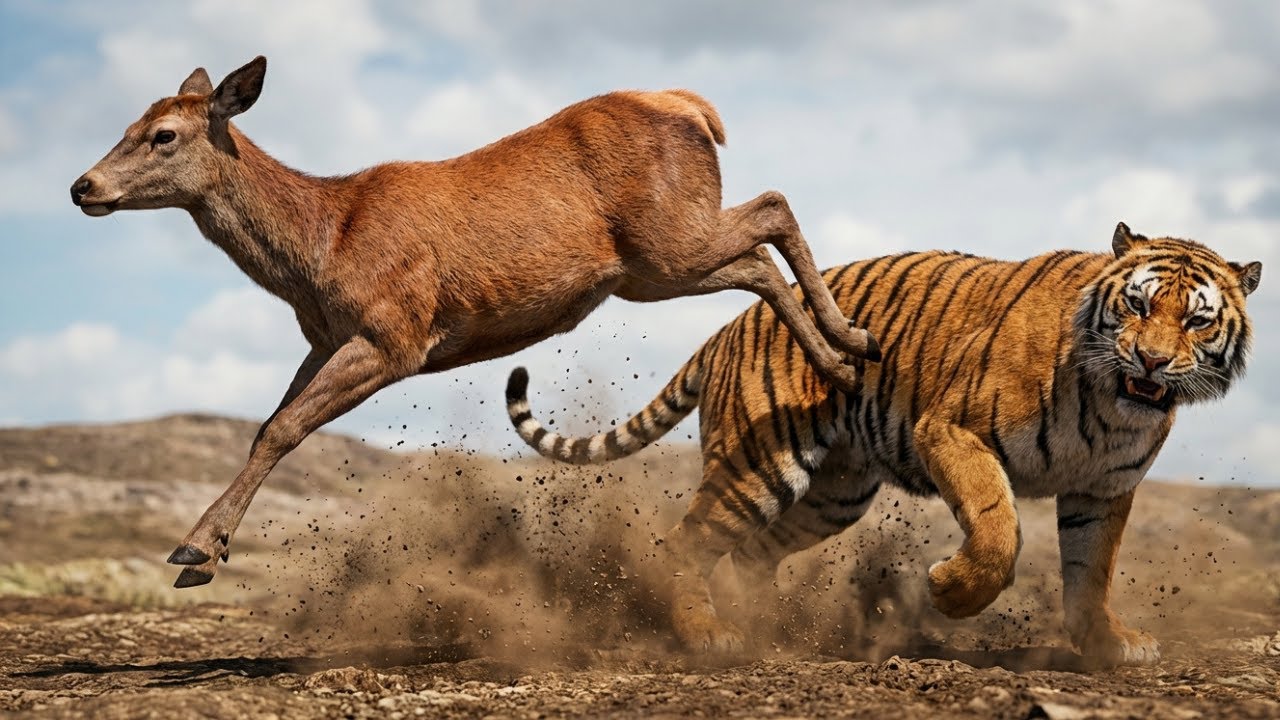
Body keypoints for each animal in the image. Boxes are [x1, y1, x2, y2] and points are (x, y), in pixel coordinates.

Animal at [70, 56, 881, 588]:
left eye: (164, 134)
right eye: (127, 122)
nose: (83, 185)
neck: (323, 247)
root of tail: (693, 107)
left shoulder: (394, 332)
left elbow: (283, 429)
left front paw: (194, 552)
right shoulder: (325, 338)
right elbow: (268, 424)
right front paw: (207, 550)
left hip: (669, 239)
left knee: (770, 210)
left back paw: (850, 347)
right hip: (650, 269)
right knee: (760, 252)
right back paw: (845, 355)